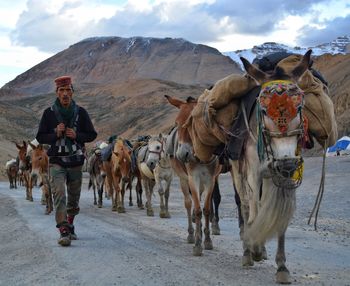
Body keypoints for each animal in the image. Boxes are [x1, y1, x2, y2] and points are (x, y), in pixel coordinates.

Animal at [165, 95, 221, 256]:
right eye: (177, 123)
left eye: (191, 124)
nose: (182, 154)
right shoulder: (192, 178)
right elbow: (196, 210)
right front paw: (197, 244)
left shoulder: (210, 180)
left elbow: (206, 209)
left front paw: (207, 240)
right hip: (184, 180)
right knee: (189, 204)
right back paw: (191, 234)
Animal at [228, 49, 314, 284]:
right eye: (264, 110)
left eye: (300, 106)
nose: (286, 162)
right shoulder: (253, 173)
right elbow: (254, 210)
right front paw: (255, 248)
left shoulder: (285, 174)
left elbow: (281, 220)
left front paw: (282, 267)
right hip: (238, 173)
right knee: (246, 206)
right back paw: (248, 251)